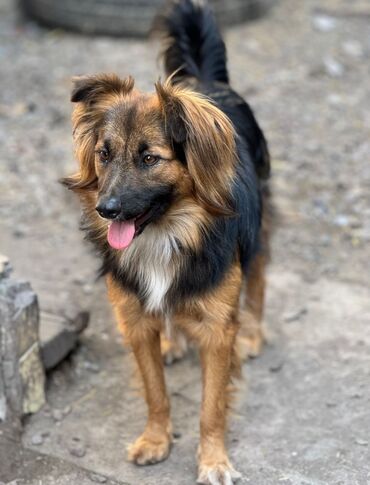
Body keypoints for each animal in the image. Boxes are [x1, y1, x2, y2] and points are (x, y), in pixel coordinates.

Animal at [62, 1, 270, 482]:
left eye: (149, 158)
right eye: (103, 154)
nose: (106, 208)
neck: (166, 234)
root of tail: (204, 81)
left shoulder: (217, 328)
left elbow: (211, 406)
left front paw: (213, 460)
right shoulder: (134, 318)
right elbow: (155, 391)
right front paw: (156, 440)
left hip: (260, 224)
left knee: (258, 275)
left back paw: (252, 331)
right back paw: (172, 341)